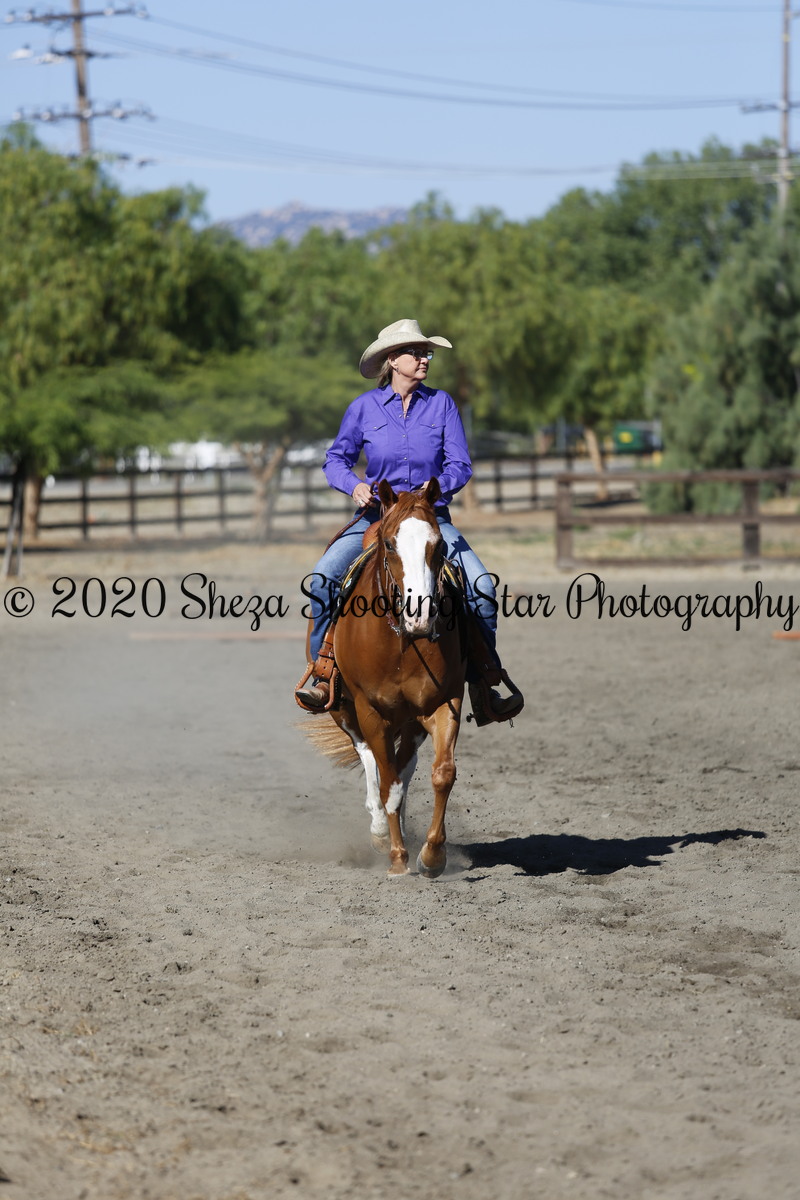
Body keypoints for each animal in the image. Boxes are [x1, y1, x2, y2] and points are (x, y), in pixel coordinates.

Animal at [304, 478, 466, 878]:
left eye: (439, 544)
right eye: (390, 544)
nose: (420, 616)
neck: (403, 642)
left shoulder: (444, 703)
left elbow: (441, 773)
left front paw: (432, 856)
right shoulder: (370, 710)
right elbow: (386, 783)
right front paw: (396, 858)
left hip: (410, 721)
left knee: (405, 765)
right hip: (344, 709)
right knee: (369, 759)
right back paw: (379, 830)